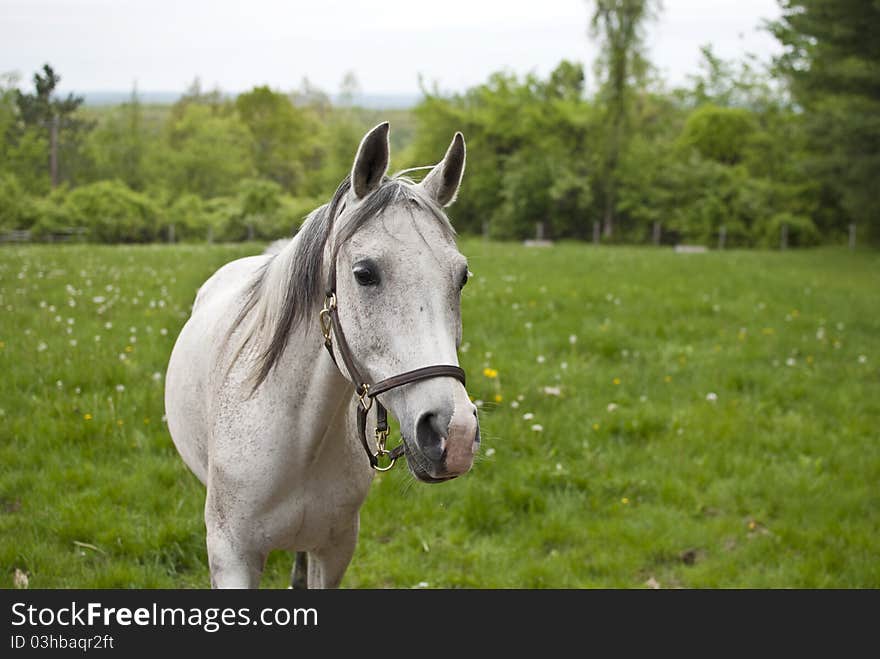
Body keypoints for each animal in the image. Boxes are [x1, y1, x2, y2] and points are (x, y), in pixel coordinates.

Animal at [165, 122, 482, 588]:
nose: (454, 433)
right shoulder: (232, 556)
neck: (299, 439)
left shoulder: (334, 550)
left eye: (461, 277)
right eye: (364, 273)